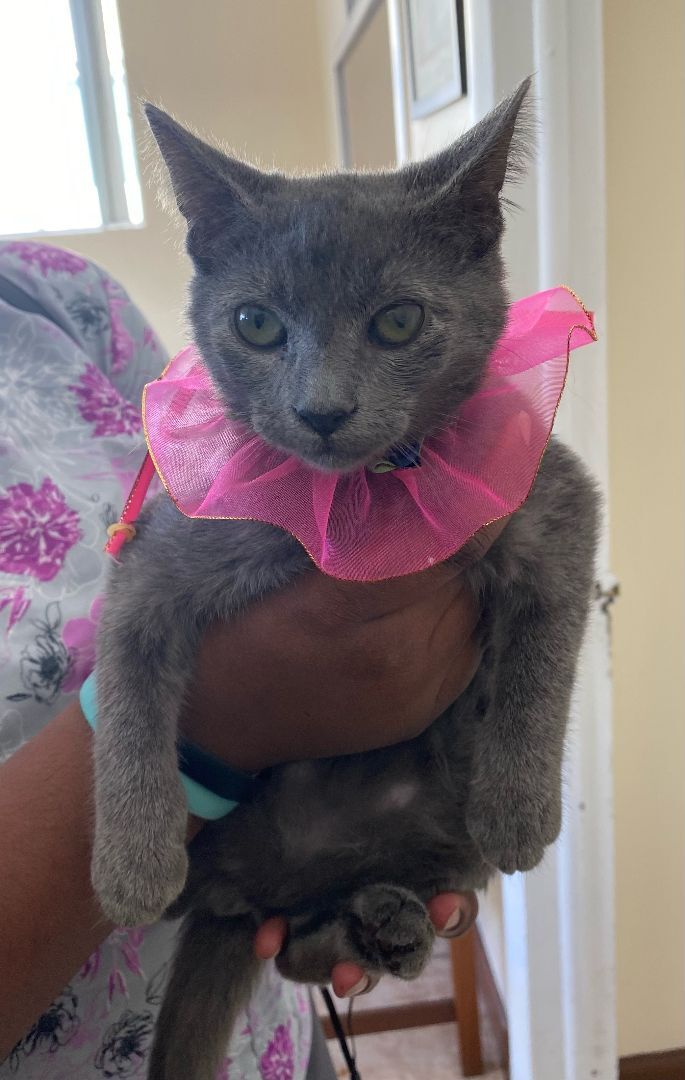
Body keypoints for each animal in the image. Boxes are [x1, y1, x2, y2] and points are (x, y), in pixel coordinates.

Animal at [91, 77, 599, 1080]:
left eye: (399, 320)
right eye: (255, 324)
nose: (320, 409)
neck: (358, 502)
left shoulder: (551, 502)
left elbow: (543, 657)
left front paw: (521, 810)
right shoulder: (154, 563)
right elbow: (125, 689)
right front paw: (130, 865)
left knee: (300, 944)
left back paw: (387, 922)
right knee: (284, 947)